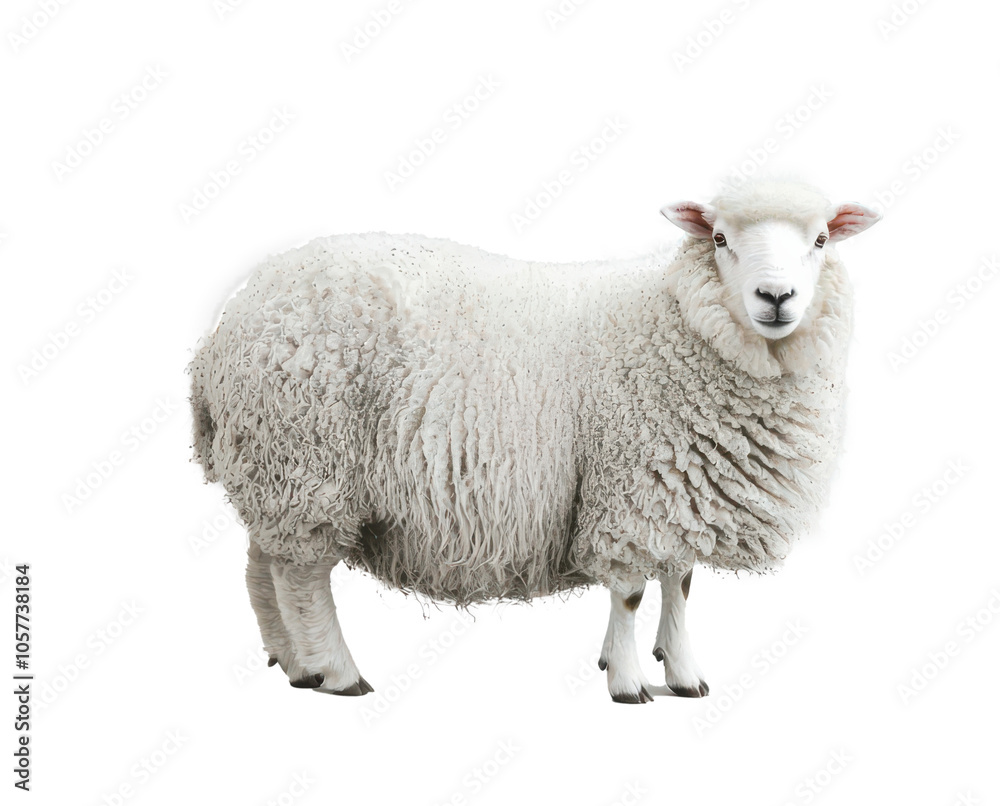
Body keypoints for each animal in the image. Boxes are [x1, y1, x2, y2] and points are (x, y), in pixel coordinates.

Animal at [188, 178, 880, 702]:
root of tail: (225, 325)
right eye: (719, 239)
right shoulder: (634, 482)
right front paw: (629, 682)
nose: (776, 297)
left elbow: (679, 583)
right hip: (307, 459)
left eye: (821, 240)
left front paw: (682, 674)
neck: (677, 323)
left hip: (277, 469)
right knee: (302, 576)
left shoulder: (679, 486)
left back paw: (293, 662)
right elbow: (631, 592)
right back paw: (336, 670)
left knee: (262, 566)